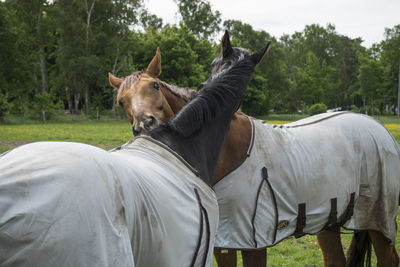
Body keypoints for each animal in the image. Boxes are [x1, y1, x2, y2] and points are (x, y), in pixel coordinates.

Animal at [109, 36, 400, 266]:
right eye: (121, 101)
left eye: (155, 86)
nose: (145, 125)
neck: (225, 150)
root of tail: (377, 126)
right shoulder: (224, 242)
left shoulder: (253, 243)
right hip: (329, 222)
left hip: (378, 221)